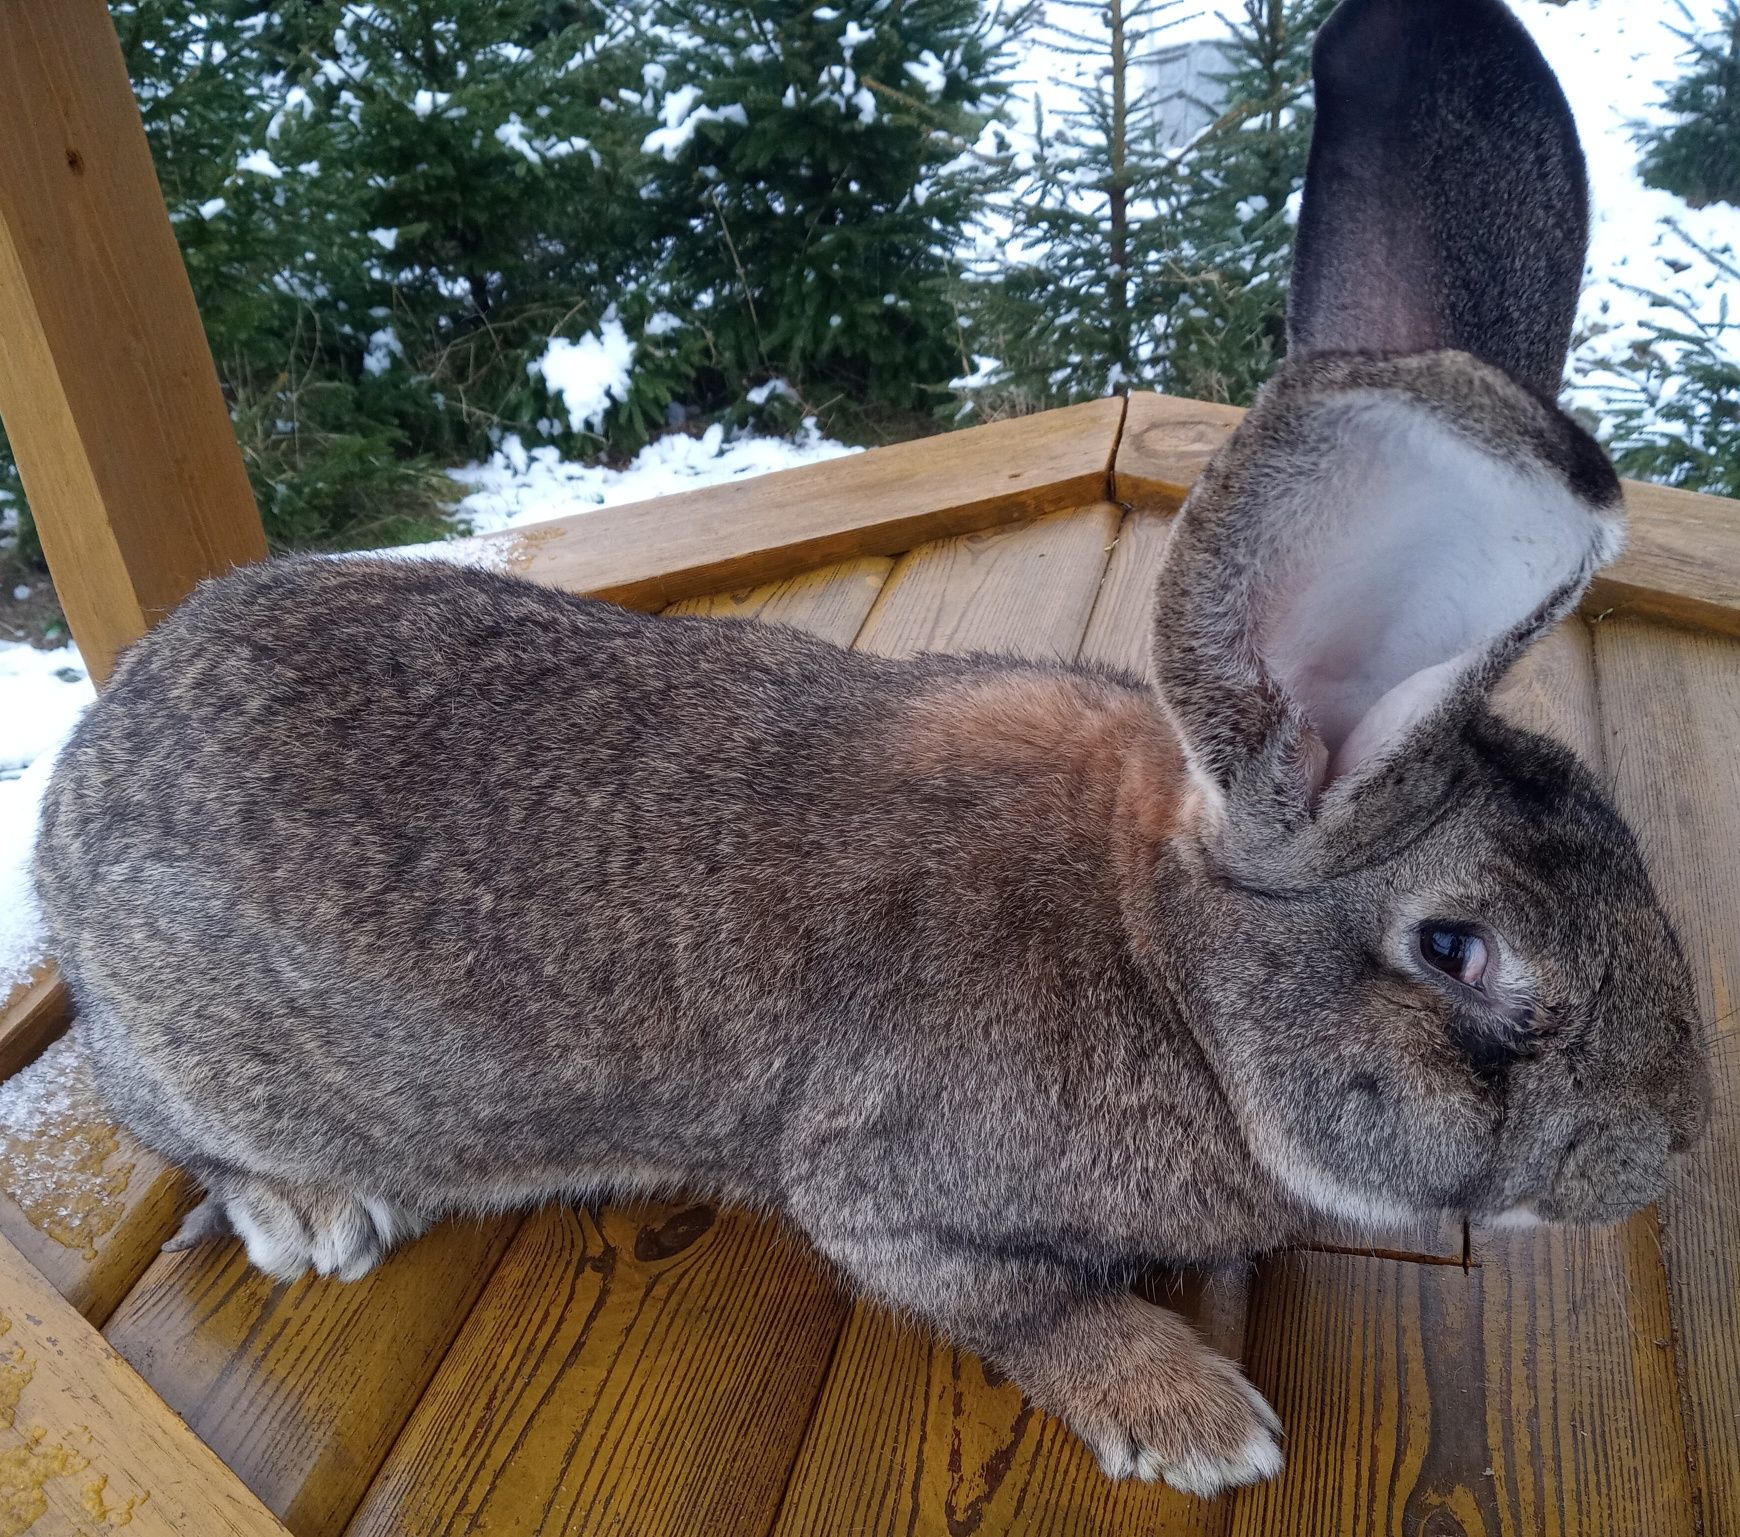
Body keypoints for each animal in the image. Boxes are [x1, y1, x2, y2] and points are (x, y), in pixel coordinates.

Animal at [27, 0, 1712, 1503]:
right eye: (1456, 949)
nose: (1662, 1154)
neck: (1164, 966)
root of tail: (75, 794)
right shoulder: (886, 1199)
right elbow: (1019, 1301)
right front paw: (1191, 1414)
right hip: (198, 1070)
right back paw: (309, 1213)